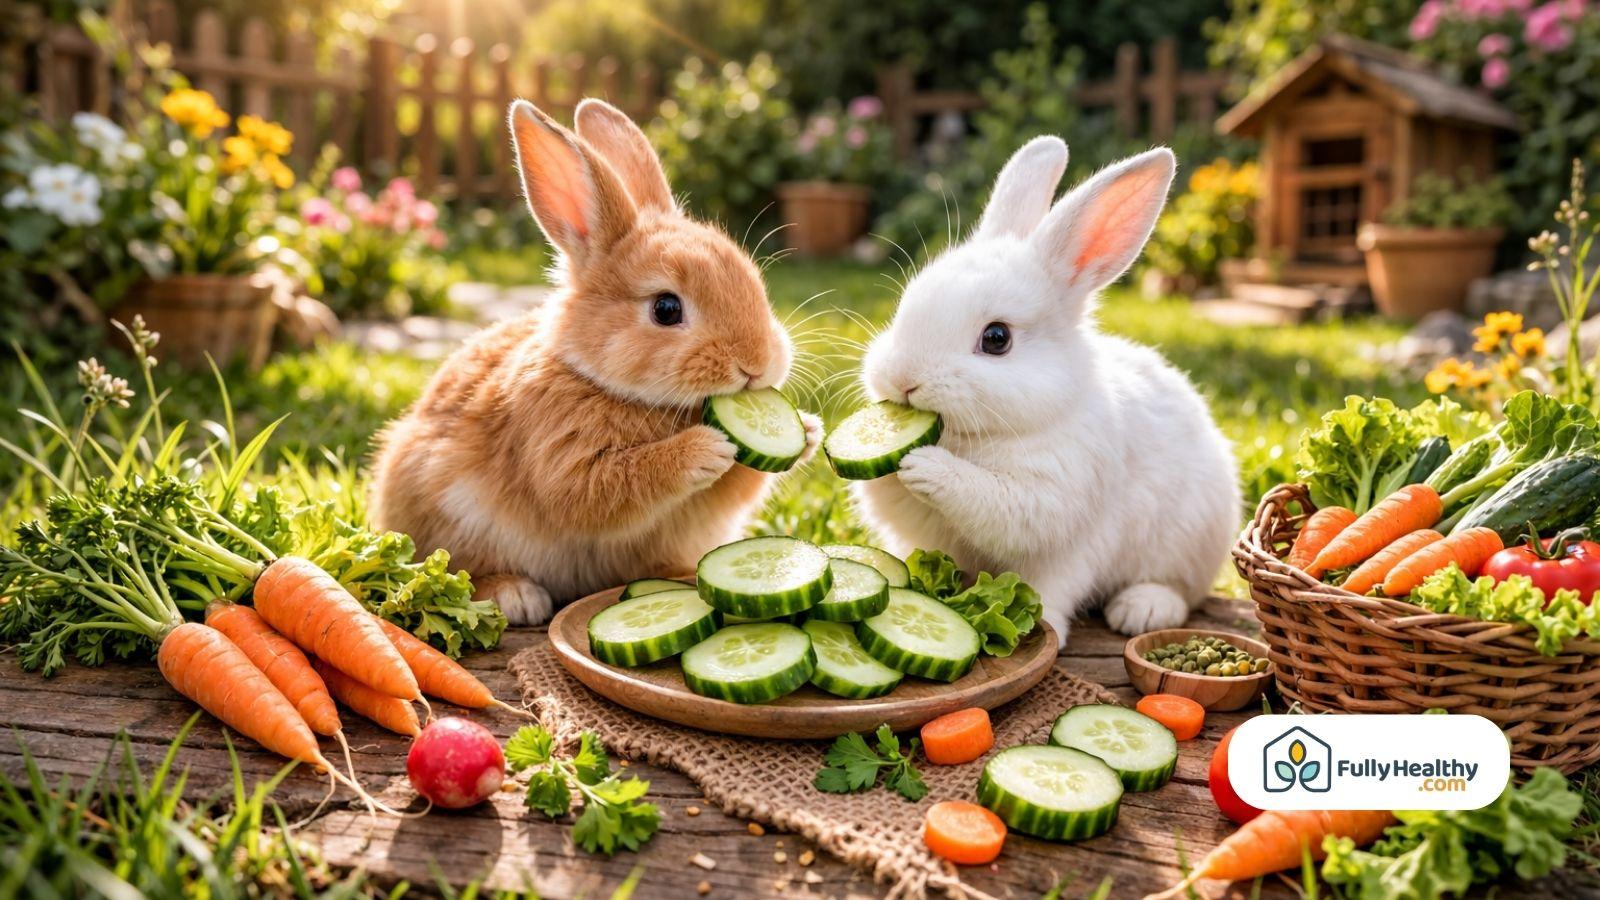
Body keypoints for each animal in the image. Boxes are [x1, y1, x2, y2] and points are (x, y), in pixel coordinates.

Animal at [368, 98, 820, 625]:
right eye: (666, 309)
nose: (757, 365)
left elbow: (741, 481)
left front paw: (809, 432)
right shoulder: (559, 453)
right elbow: (603, 490)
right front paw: (703, 449)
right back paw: (516, 596)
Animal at [851, 137, 1240, 647]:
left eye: (997, 338)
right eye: (905, 306)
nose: (902, 380)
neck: (968, 440)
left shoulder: (1052, 509)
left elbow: (991, 505)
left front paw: (924, 467)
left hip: (1187, 542)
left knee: (1180, 590)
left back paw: (1142, 610)